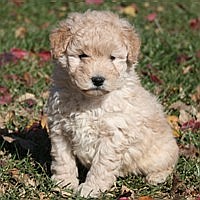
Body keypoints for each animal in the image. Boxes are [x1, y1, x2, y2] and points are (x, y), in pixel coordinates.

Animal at [46, 10, 179, 197]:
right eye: (82, 55)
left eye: (112, 58)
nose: (98, 80)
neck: (90, 100)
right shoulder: (60, 129)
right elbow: (63, 159)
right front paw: (64, 183)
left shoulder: (113, 135)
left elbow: (101, 166)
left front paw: (91, 188)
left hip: (161, 153)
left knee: (169, 164)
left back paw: (156, 177)